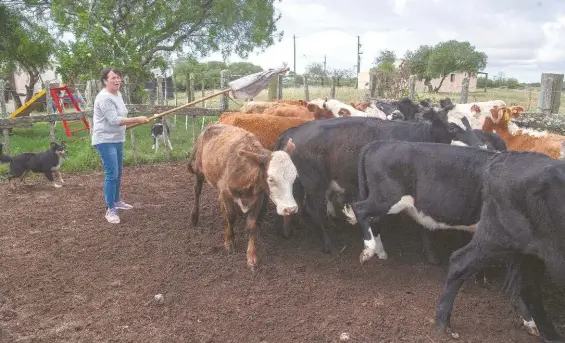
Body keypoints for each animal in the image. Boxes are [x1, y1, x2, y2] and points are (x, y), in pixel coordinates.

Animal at [187, 122, 298, 270]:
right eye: (271, 179)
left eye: (294, 177)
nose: (290, 209)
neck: (245, 171)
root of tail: (211, 126)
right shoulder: (226, 192)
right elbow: (231, 217)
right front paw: (229, 241)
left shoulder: (258, 197)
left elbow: (251, 224)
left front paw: (251, 256)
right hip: (199, 170)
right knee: (197, 191)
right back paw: (194, 217)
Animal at [272, 109, 484, 256]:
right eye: (452, 127)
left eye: (470, 124)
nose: (481, 146)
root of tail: (293, 130)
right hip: (315, 183)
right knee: (312, 209)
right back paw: (328, 245)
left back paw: (290, 231)